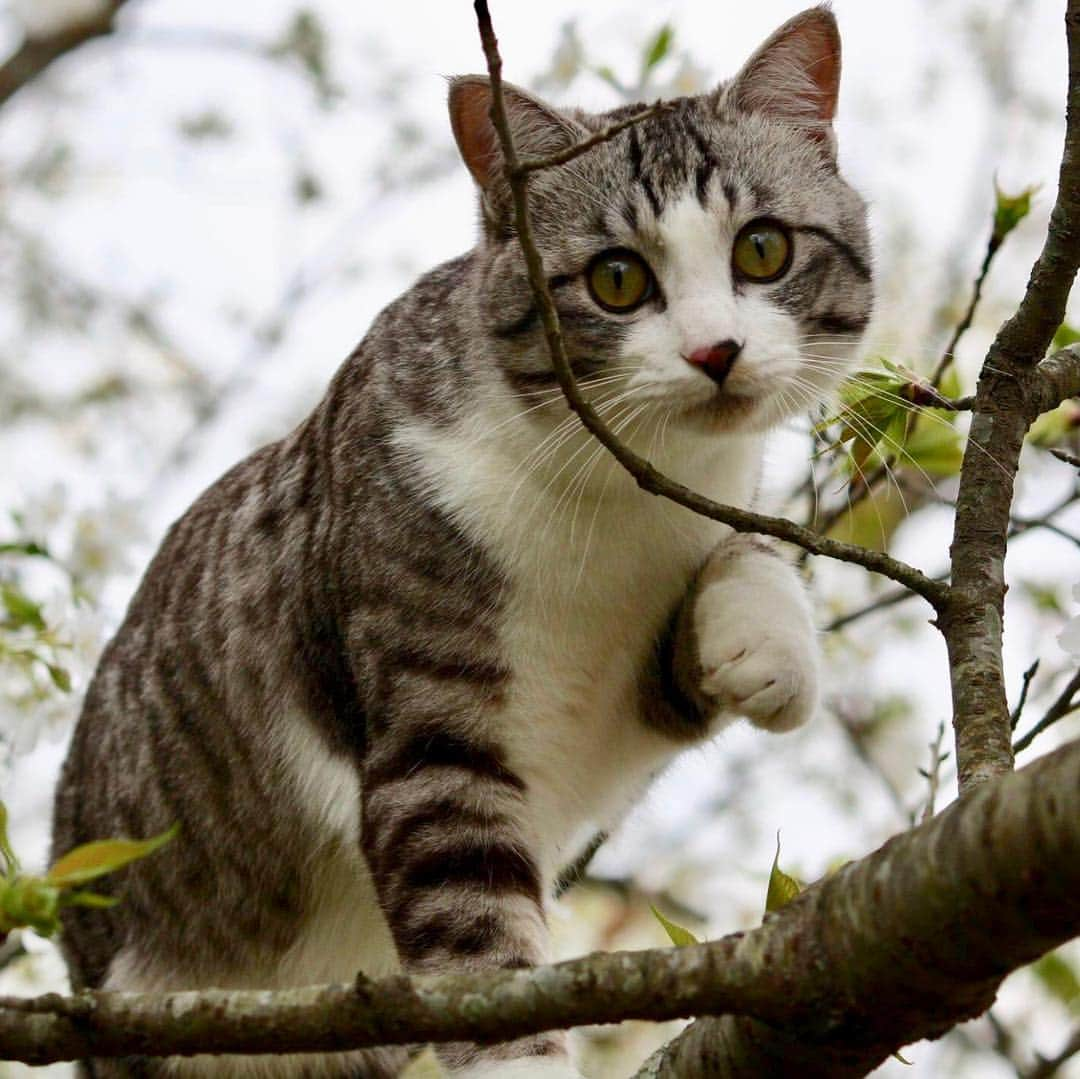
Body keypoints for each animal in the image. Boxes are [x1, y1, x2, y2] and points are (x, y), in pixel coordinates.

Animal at [54, 4, 872, 1075]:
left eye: (765, 250)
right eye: (617, 278)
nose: (715, 351)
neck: (615, 494)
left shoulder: (644, 660)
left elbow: (741, 560)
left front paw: (764, 642)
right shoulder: (426, 717)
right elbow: (476, 928)